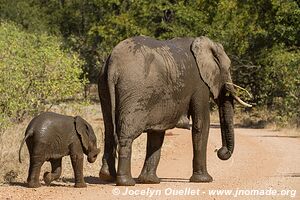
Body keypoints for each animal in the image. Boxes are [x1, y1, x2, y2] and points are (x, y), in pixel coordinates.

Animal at [98, 35, 251, 186]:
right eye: (228, 68)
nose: (220, 151)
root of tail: (113, 63)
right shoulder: (200, 83)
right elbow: (201, 124)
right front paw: (204, 180)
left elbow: (157, 133)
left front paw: (150, 181)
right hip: (135, 91)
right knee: (127, 133)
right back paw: (126, 182)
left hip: (104, 85)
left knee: (109, 130)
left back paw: (107, 176)